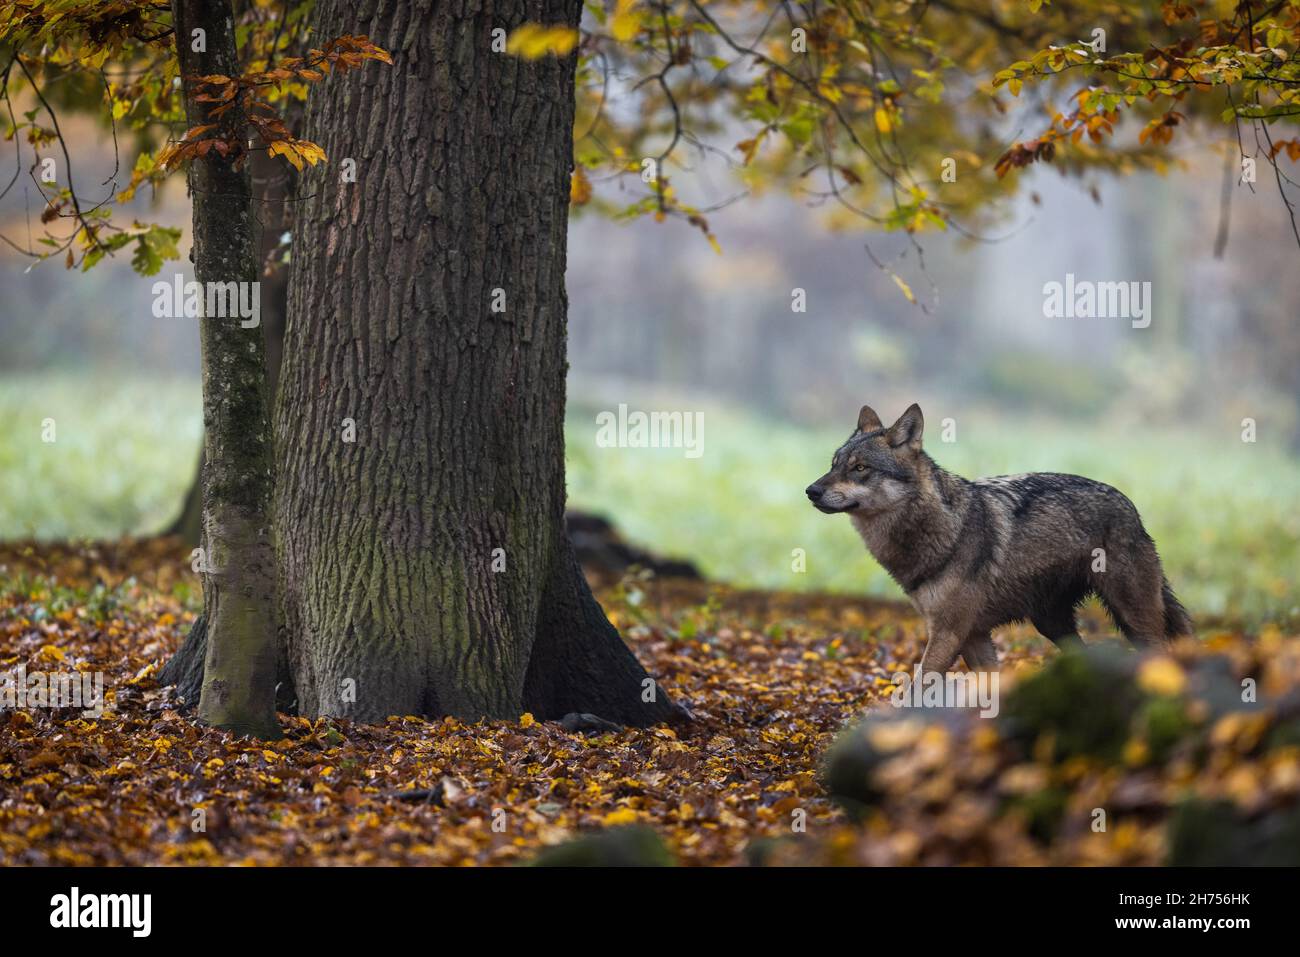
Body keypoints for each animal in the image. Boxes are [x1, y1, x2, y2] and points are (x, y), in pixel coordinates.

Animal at [806, 403, 1193, 673]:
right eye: (833, 464)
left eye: (859, 468)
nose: (811, 491)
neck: (943, 528)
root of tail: (1131, 506)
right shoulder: (973, 636)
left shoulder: (948, 633)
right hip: (1052, 624)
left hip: (1132, 617)